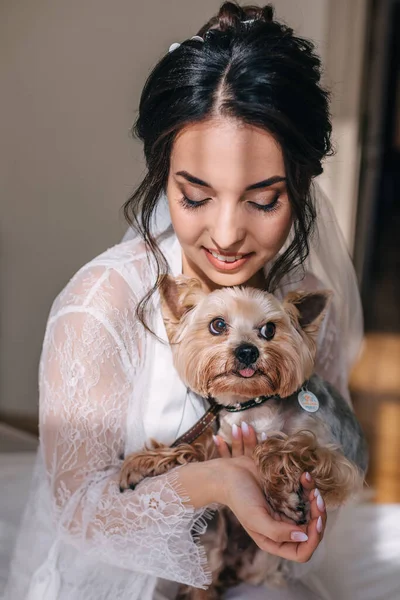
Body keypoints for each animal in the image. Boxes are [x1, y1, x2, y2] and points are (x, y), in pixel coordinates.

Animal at [119, 276, 368, 596]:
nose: (247, 351)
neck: (252, 405)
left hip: (262, 563)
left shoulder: (340, 464)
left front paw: (283, 496)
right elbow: (196, 450)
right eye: (218, 325)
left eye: (269, 329)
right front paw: (143, 463)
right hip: (211, 542)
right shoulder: (222, 444)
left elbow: (280, 445)